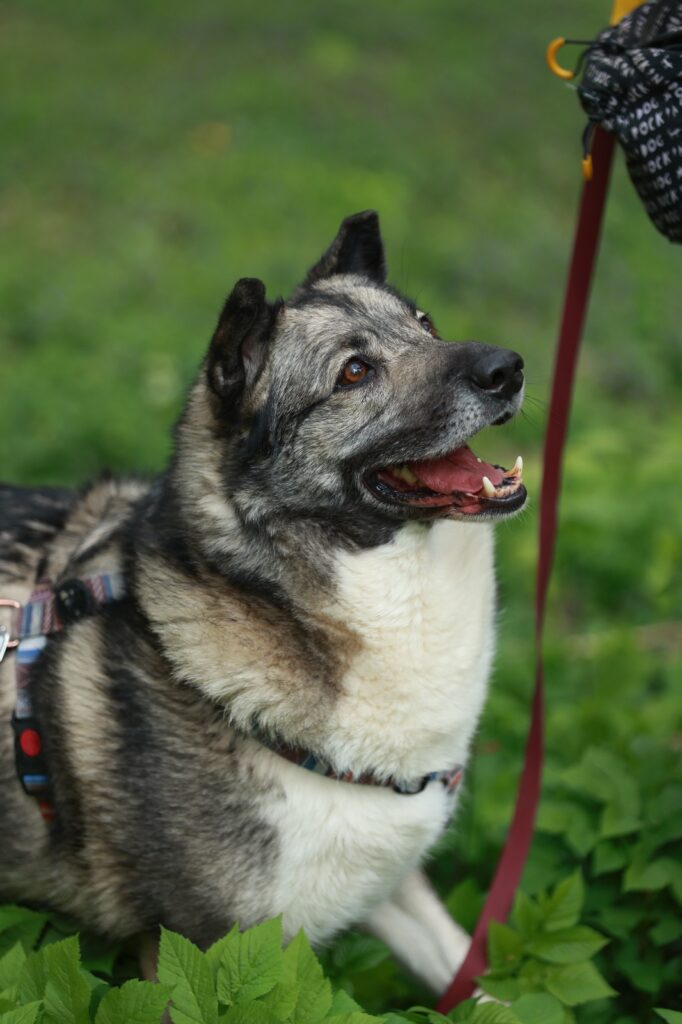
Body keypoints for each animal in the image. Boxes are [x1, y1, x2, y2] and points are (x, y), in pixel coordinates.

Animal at [0, 211, 526, 994]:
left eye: (425, 323)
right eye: (354, 372)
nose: (510, 368)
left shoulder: (391, 885)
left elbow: (477, 985)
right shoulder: (191, 949)